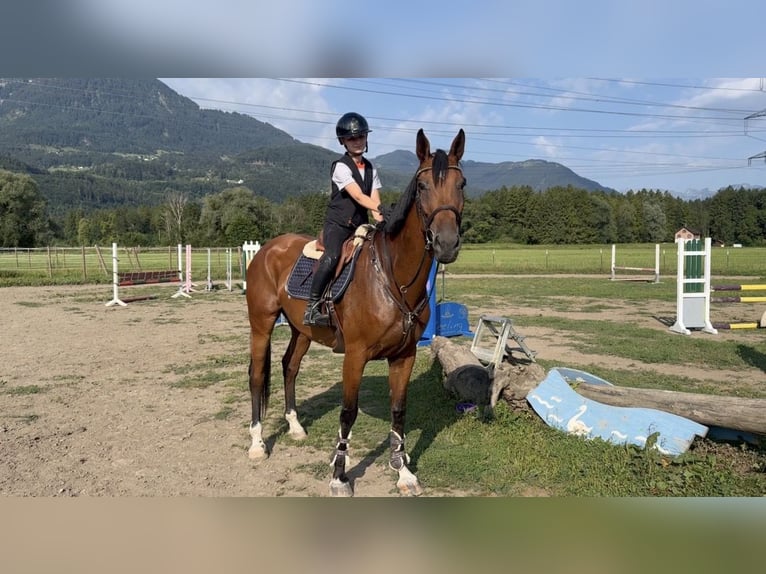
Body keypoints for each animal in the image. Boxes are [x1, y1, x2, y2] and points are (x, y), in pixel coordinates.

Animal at [245, 128, 466, 496]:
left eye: (461, 183)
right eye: (422, 186)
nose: (446, 243)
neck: (391, 275)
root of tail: (267, 249)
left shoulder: (404, 356)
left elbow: (399, 410)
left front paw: (403, 472)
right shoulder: (355, 355)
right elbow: (348, 413)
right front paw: (339, 476)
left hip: (301, 330)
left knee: (290, 366)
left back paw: (295, 426)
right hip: (261, 325)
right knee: (257, 376)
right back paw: (257, 444)